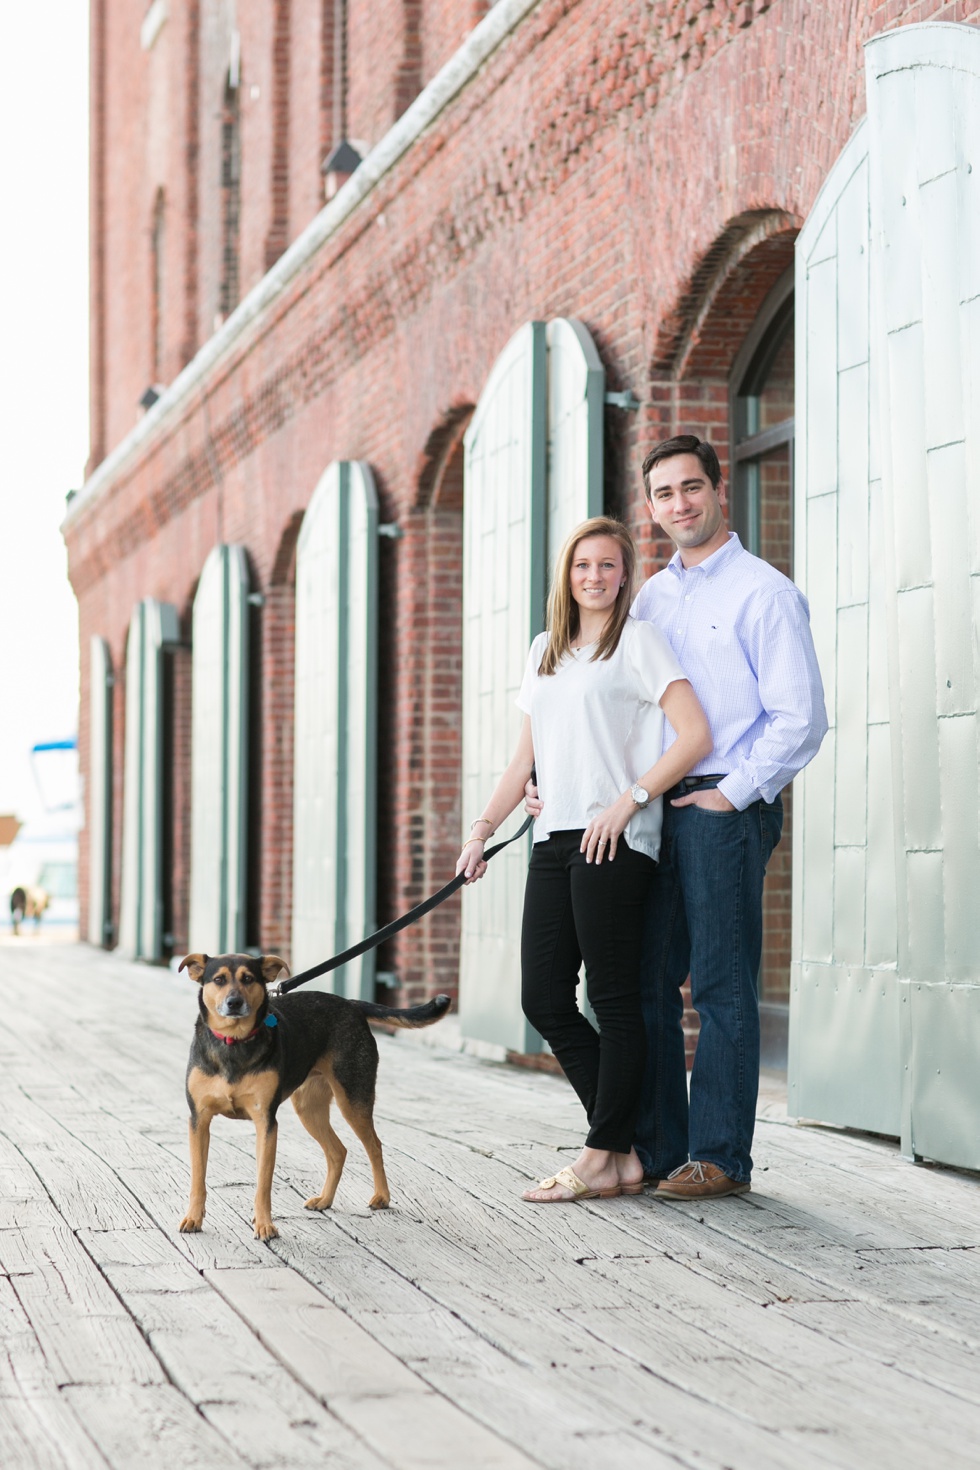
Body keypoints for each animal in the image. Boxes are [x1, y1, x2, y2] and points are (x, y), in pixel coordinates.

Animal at [178, 952, 449, 1240]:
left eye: (248, 979)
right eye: (218, 980)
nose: (234, 1003)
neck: (233, 1041)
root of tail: (351, 1004)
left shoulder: (266, 1122)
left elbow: (263, 1183)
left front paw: (264, 1225)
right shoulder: (199, 1120)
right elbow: (198, 1178)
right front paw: (193, 1218)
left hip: (352, 1098)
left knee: (374, 1145)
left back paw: (382, 1197)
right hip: (309, 1108)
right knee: (338, 1151)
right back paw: (325, 1200)